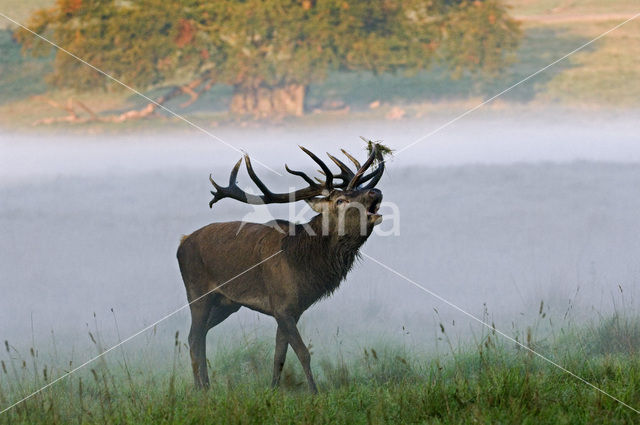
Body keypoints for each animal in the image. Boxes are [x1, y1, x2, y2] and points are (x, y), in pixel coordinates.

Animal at [175, 142, 384, 390]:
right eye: (340, 200)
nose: (375, 192)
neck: (301, 264)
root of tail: (182, 243)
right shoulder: (281, 306)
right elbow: (303, 353)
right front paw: (314, 392)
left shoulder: (293, 310)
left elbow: (279, 355)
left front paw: (273, 389)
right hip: (197, 293)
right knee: (193, 337)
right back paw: (201, 389)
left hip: (226, 303)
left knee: (202, 335)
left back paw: (206, 386)